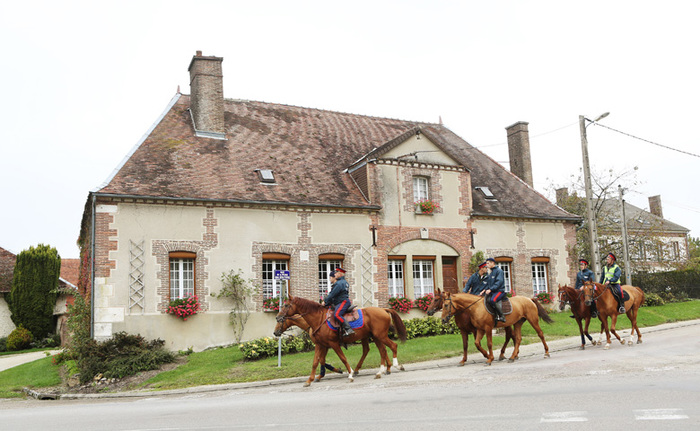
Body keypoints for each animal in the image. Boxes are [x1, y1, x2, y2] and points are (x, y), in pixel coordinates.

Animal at [274, 296, 404, 388]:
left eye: (286, 305)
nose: (277, 318)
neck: (319, 319)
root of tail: (383, 309)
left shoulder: (333, 344)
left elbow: (342, 358)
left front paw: (349, 373)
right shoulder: (320, 345)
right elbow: (316, 362)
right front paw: (310, 379)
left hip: (380, 336)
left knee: (392, 346)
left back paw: (395, 365)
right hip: (376, 337)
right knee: (381, 351)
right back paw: (381, 371)